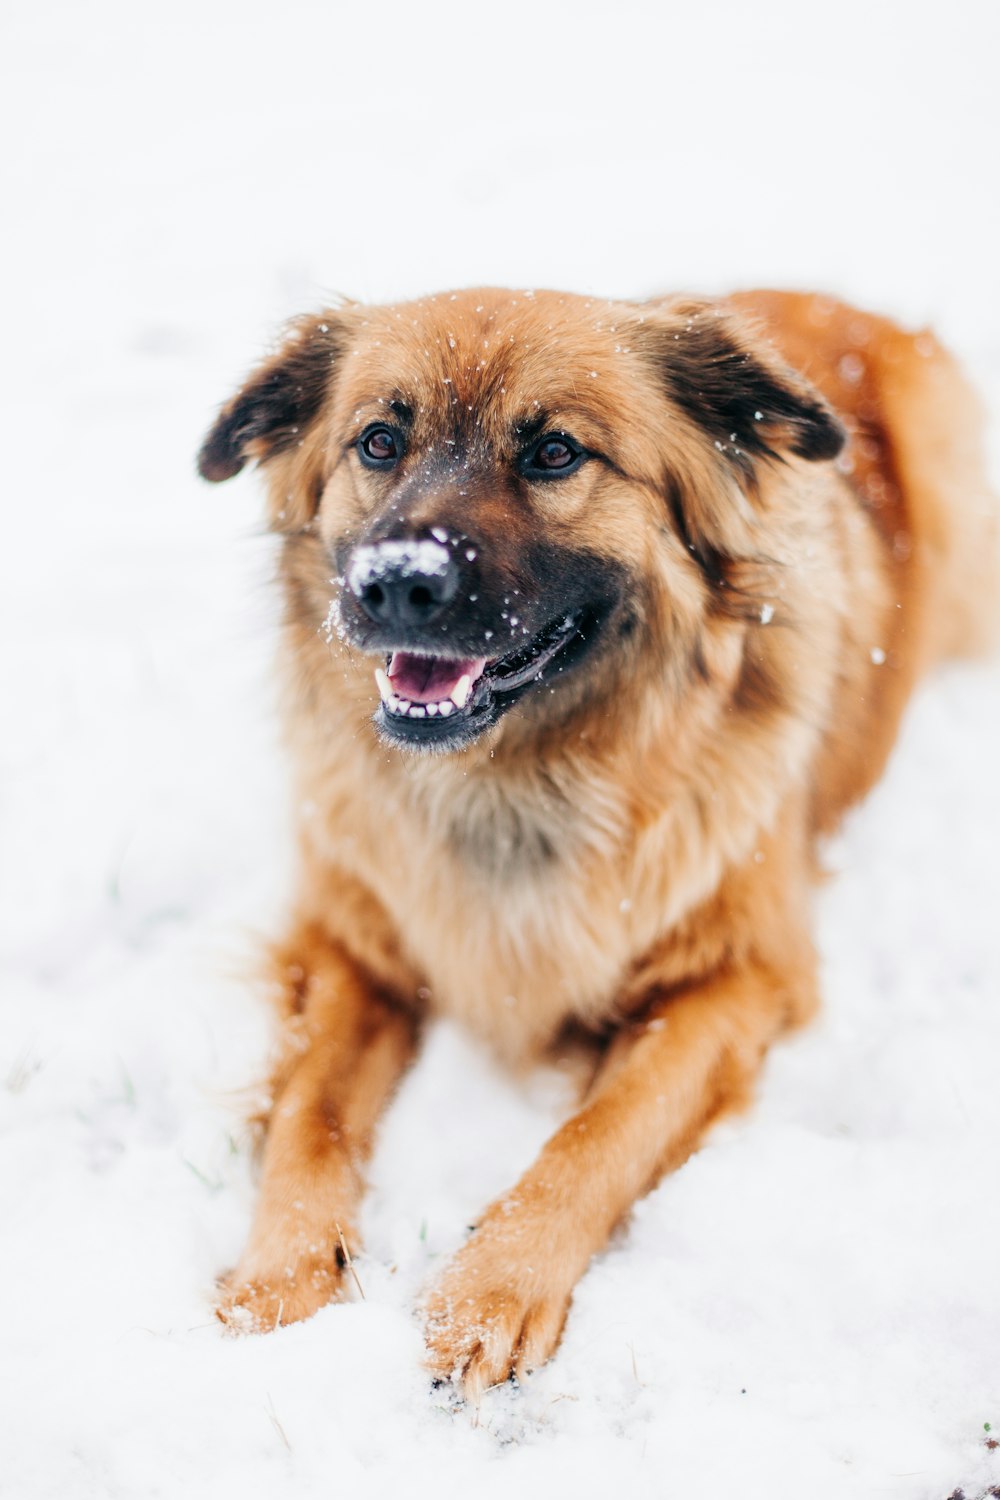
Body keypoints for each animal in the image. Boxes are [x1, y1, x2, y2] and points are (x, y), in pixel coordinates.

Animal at [199, 289, 995, 1392]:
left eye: (555, 453)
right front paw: (279, 1282)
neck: (515, 782)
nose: (394, 584)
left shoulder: (736, 977)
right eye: (378, 441)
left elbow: (602, 1128)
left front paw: (492, 1292)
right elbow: (308, 1114)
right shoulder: (352, 942)